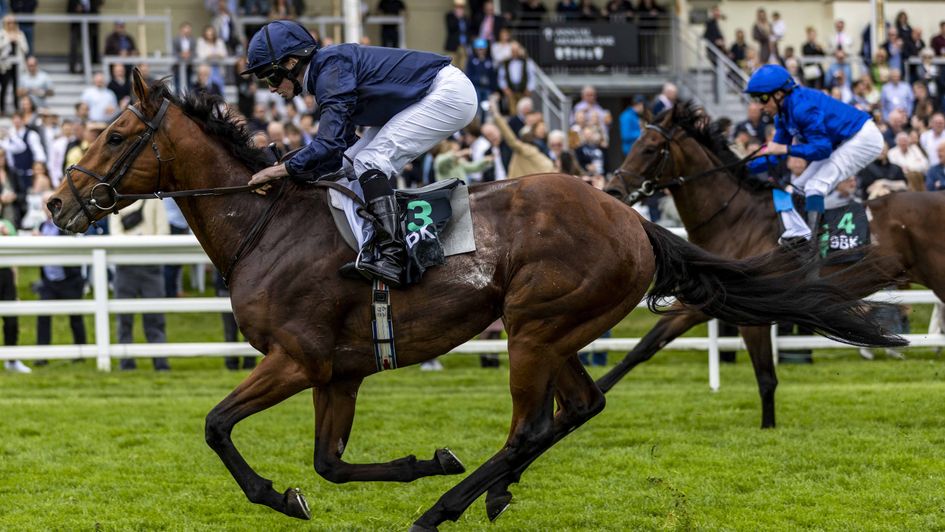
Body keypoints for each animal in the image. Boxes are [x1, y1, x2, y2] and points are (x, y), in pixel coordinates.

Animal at [48, 72, 904, 528]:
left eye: (116, 136)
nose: (58, 205)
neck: (267, 225)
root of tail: (629, 217)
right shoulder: (339, 372)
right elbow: (330, 463)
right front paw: (420, 460)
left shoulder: (298, 359)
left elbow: (218, 426)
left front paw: (281, 497)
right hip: (555, 331)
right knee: (577, 408)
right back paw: (481, 491)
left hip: (533, 327)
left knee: (530, 425)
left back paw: (447, 507)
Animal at [600, 102, 940, 430]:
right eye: (634, 143)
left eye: (649, 148)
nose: (613, 191)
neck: (734, 221)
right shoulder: (704, 301)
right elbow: (644, 347)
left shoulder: (755, 314)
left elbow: (766, 377)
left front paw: (768, 427)